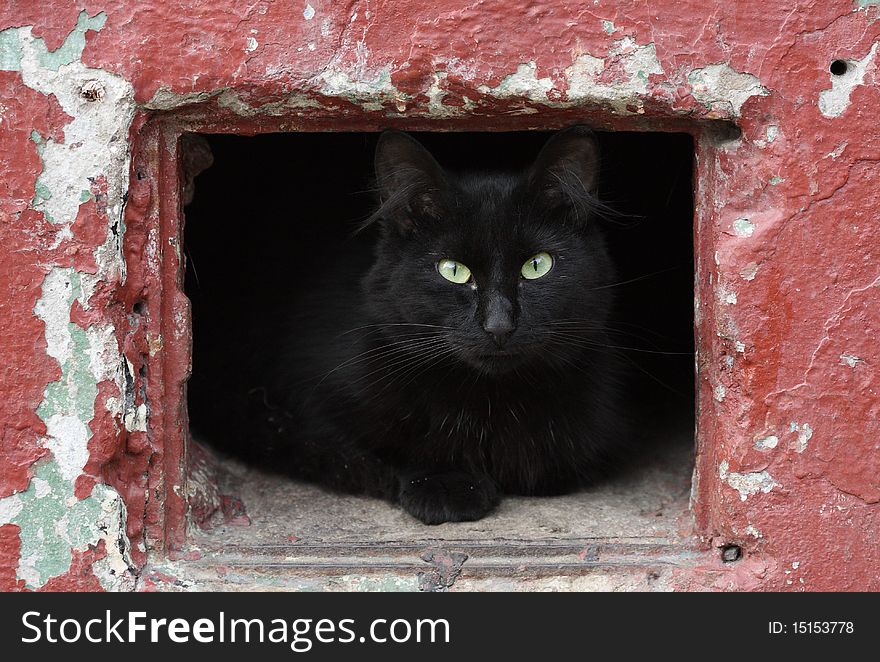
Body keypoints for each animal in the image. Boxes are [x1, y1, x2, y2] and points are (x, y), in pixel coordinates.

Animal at [191, 128, 632, 524]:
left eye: (537, 266)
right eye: (452, 270)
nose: (498, 325)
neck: (491, 402)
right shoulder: (307, 405)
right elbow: (369, 450)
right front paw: (447, 485)